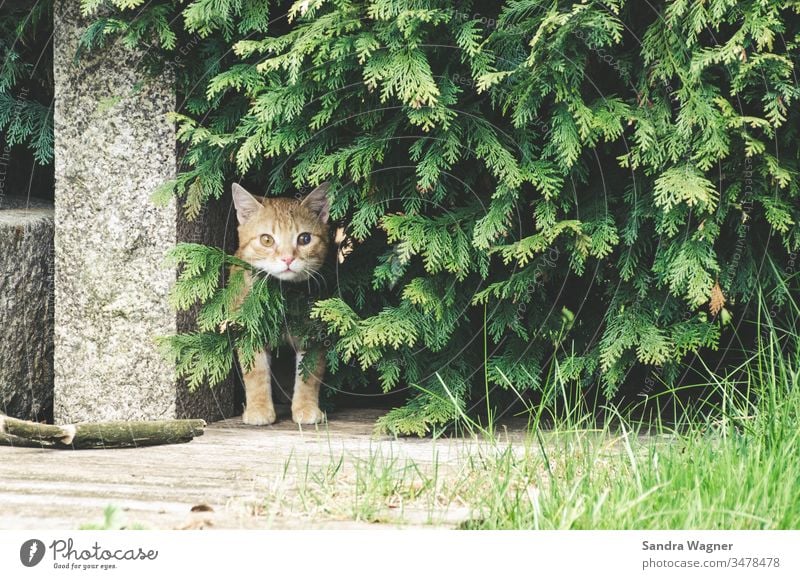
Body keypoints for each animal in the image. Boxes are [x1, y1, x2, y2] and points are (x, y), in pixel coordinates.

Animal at [231, 181, 332, 426]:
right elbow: (256, 373)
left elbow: (309, 374)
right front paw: (259, 408)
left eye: (304, 239)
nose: (287, 258)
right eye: (266, 239)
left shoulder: (313, 334)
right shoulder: (250, 332)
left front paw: (306, 408)